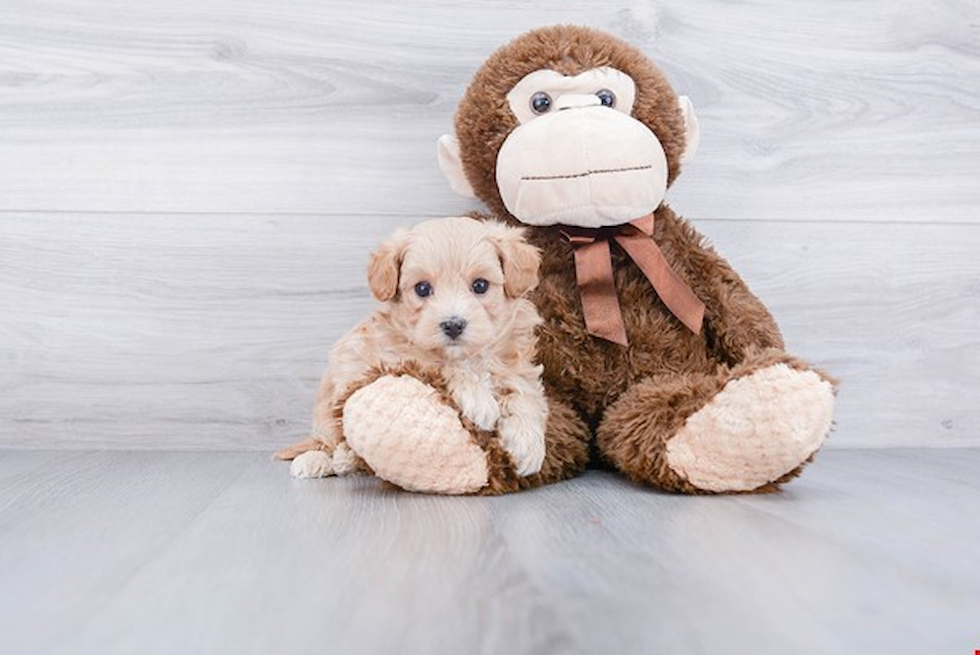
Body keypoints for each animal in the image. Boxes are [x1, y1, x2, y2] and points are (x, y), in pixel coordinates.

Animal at [280, 218, 548, 480]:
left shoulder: (516, 367)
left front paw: (528, 444)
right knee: (327, 440)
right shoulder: (394, 357)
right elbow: (442, 366)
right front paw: (479, 400)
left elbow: (524, 394)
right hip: (329, 404)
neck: (468, 356)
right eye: (422, 288)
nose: (453, 325)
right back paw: (320, 460)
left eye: (480, 285)